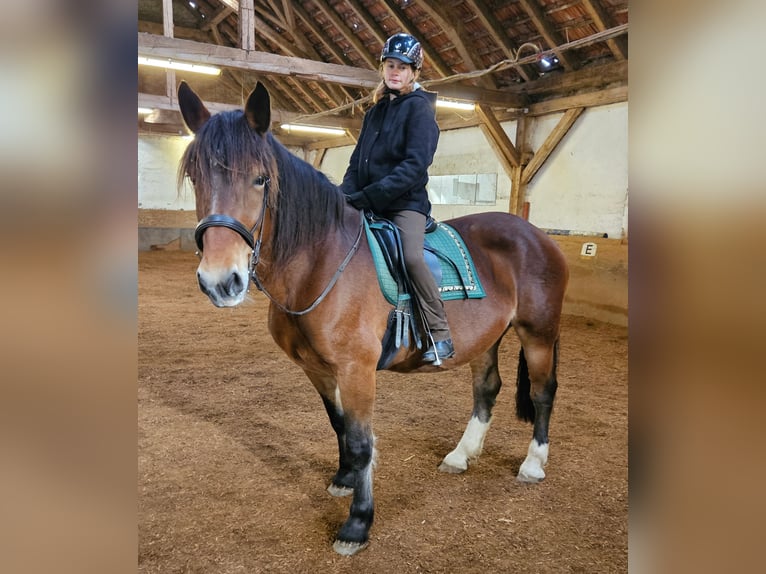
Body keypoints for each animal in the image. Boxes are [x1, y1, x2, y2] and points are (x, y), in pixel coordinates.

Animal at [178, 82, 568, 560]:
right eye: (196, 177)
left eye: (261, 178)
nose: (221, 281)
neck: (320, 263)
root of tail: (536, 235)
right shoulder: (317, 369)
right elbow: (340, 426)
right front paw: (344, 479)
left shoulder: (357, 369)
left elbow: (363, 442)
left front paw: (358, 523)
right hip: (486, 339)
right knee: (486, 389)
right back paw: (461, 455)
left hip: (539, 334)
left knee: (544, 393)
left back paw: (533, 464)